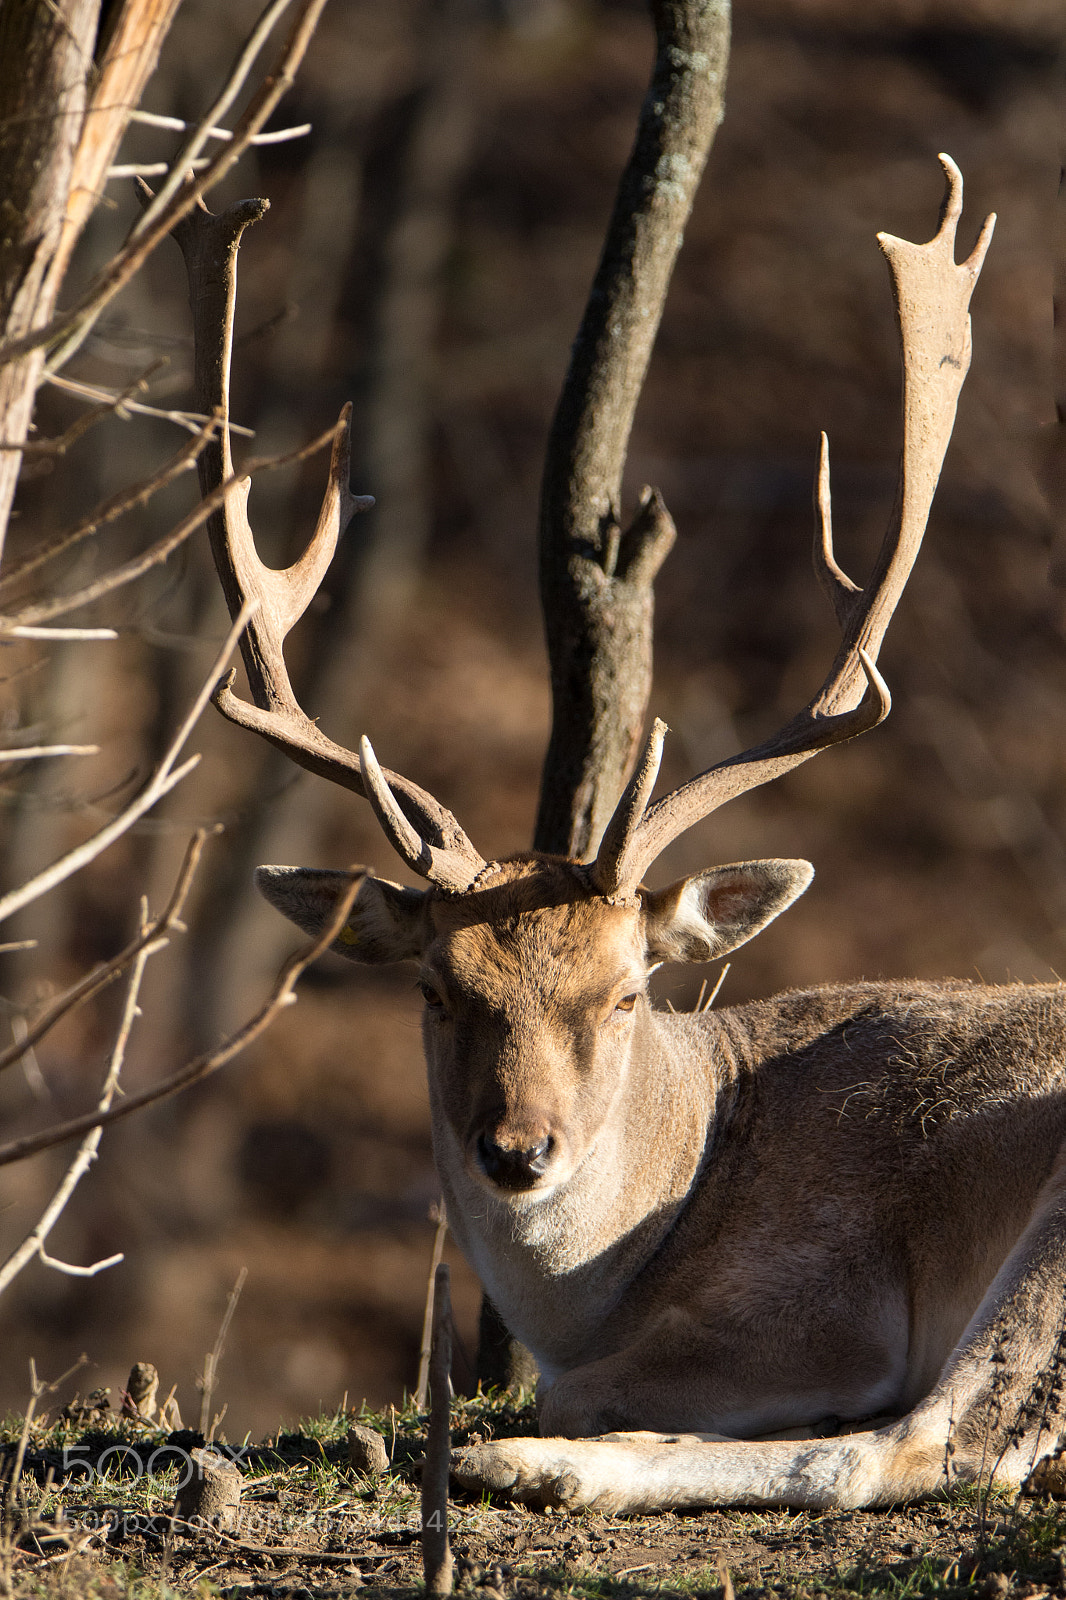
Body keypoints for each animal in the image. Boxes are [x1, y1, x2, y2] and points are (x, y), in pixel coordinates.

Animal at [168, 0, 1066, 1512]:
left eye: (631, 988)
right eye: (436, 986)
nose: (515, 1151)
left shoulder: (814, 1295)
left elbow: (629, 1383)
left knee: (932, 1443)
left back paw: (529, 1460)